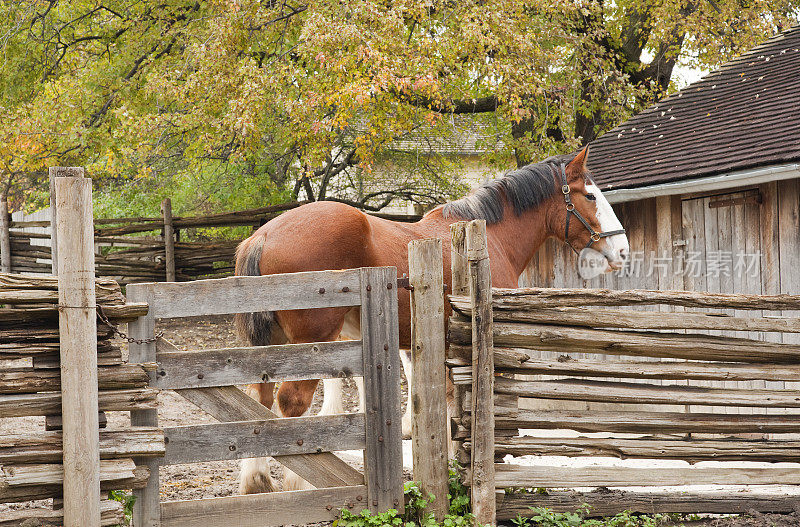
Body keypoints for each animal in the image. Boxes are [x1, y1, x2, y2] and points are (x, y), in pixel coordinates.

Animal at [234, 146, 628, 492]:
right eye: (589, 196)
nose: (622, 250)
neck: (490, 235)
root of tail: (263, 234)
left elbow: (453, 406)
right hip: (311, 344)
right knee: (291, 403)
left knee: (260, 399)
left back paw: (256, 481)